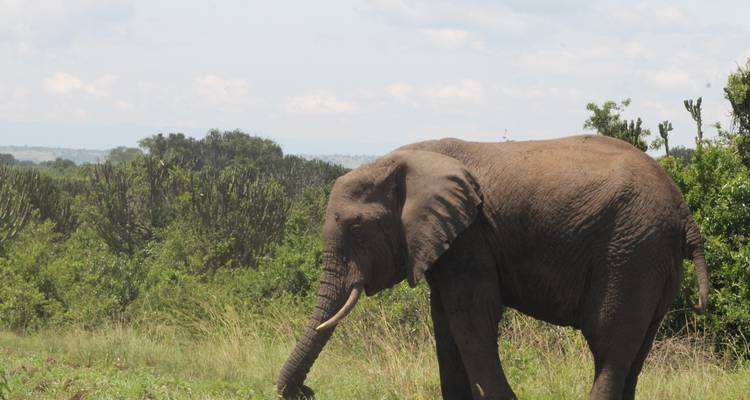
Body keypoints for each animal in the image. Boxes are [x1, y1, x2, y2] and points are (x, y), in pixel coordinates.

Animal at [276, 135, 709, 400]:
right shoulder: (449, 243)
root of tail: (683, 210)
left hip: (630, 252)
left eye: (355, 228)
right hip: (652, 257)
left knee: (610, 345)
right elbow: (445, 323)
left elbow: (470, 319)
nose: (306, 392)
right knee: (636, 350)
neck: (407, 158)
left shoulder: (471, 237)